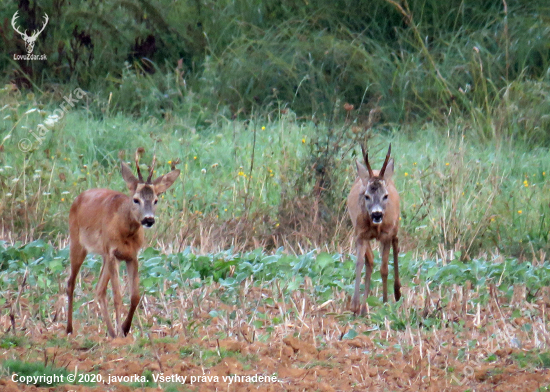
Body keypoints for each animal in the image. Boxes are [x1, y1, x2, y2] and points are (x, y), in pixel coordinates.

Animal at [66, 150, 180, 336]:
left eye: (156, 200)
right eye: (136, 199)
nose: (148, 220)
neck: (126, 231)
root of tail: (78, 198)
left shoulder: (130, 255)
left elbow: (135, 296)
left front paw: (125, 329)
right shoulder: (113, 253)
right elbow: (118, 296)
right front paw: (122, 332)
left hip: (104, 255)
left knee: (99, 289)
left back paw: (111, 333)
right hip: (77, 243)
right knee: (71, 283)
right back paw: (69, 329)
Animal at [348, 144, 404, 316]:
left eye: (385, 196)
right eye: (366, 196)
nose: (377, 214)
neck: (376, 226)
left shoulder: (386, 234)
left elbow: (384, 268)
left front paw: (385, 303)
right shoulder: (360, 234)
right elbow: (360, 262)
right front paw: (355, 305)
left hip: (395, 226)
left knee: (396, 243)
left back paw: (397, 292)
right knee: (370, 260)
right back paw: (364, 308)